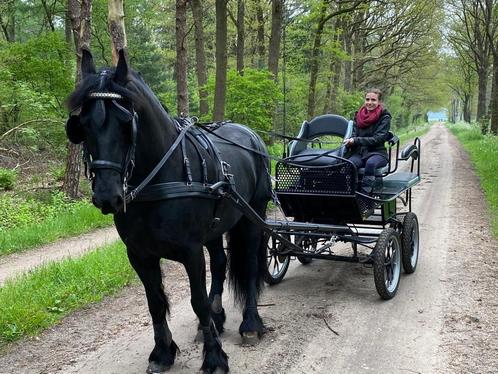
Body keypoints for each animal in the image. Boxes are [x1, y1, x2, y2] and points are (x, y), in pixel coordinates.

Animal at [65, 49, 270, 372]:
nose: (107, 196)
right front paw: (163, 352)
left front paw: (214, 357)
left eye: (126, 123)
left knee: (249, 265)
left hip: (252, 217)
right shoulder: (139, 254)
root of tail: (249, 133)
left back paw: (250, 323)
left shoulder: (190, 251)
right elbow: (155, 303)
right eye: (81, 125)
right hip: (216, 224)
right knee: (220, 262)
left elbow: (197, 302)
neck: (161, 178)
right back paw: (217, 318)